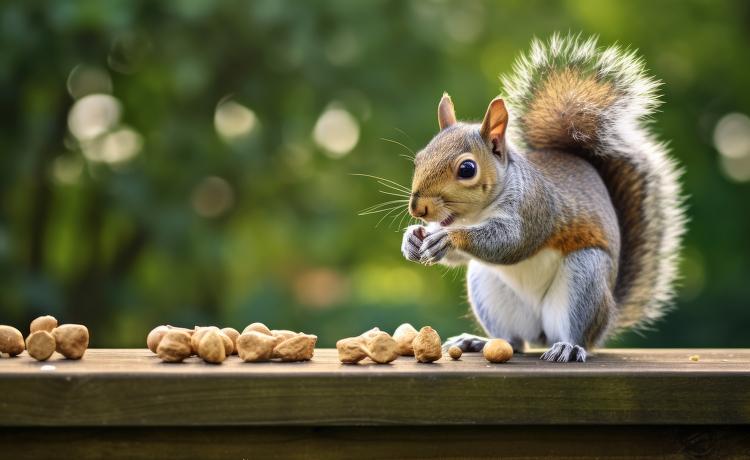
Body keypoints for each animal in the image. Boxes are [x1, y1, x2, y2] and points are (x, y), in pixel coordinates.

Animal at [400, 34, 688, 362]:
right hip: (487, 286)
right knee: (514, 341)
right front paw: (412, 238)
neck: (475, 215)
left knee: (574, 333)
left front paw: (449, 238)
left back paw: (568, 347)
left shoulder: (534, 208)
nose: (418, 209)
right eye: (418, 159)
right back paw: (479, 341)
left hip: (585, 279)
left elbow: (511, 243)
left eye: (467, 169)